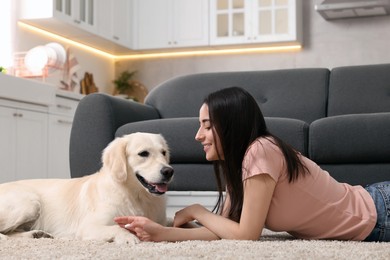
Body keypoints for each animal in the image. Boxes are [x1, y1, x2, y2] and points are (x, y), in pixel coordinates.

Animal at [0, 132, 174, 244]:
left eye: (164, 152)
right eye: (143, 153)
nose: (169, 171)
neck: (137, 196)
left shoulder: (161, 222)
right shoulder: (88, 226)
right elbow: (116, 228)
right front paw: (128, 237)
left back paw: (36, 234)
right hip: (29, 204)